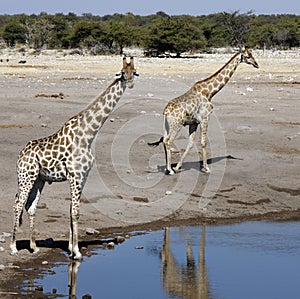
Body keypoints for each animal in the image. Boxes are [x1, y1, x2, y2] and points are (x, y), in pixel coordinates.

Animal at [10, 56, 139, 260]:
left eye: (134, 72)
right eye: (122, 72)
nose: (131, 83)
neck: (88, 135)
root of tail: (21, 154)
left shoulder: (82, 176)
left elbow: (72, 210)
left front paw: (71, 247)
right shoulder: (76, 176)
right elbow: (76, 212)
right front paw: (76, 252)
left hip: (39, 179)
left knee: (30, 206)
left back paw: (33, 247)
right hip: (26, 176)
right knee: (17, 204)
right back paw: (14, 247)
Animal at [148, 48, 258, 176]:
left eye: (252, 54)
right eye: (248, 56)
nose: (256, 64)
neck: (209, 93)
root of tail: (166, 111)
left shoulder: (194, 123)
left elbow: (191, 143)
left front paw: (178, 167)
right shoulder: (205, 118)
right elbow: (203, 142)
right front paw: (206, 168)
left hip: (167, 125)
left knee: (164, 140)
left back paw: (167, 168)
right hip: (176, 125)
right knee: (168, 141)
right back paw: (169, 170)